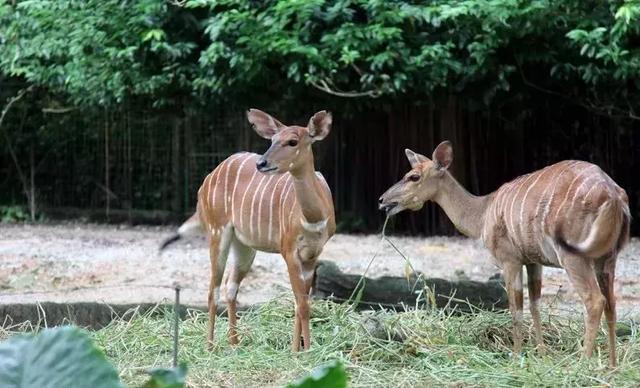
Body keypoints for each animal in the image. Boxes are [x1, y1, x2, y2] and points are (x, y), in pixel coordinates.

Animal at [160, 109, 336, 352]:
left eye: (293, 141)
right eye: (272, 140)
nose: (261, 163)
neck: (313, 219)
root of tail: (206, 182)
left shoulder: (313, 255)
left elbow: (301, 302)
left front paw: (301, 348)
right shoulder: (288, 250)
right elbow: (301, 303)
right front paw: (301, 351)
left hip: (244, 246)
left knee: (231, 287)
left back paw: (235, 343)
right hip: (218, 233)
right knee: (213, 289)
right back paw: (210, 347)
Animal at [380, 141, 632, 366]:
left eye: (414, 177)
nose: (383, 200)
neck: (482, 213)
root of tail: (613, 194)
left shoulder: (509, 260)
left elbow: (515, 309)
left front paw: (516, 357)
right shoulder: (533, 261)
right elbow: (534, 306)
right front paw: (542, 356)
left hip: (574, 258)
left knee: (595, 300)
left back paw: (582, 365)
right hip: (607, 258)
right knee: (611, 304)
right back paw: (612, 366)